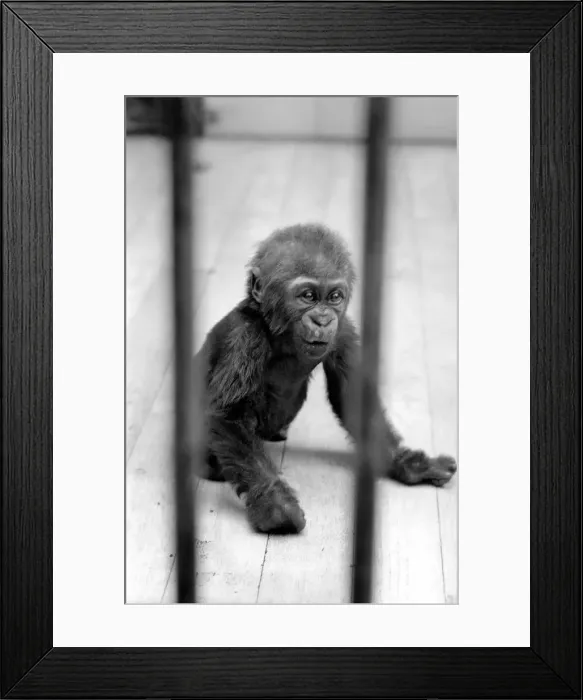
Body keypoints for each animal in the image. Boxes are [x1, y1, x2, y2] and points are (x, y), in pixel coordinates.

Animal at [195, 223, 457, 534]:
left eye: (334, 297)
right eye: (308, 296)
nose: (322, 320)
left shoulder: (342, 330)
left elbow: (353, 396)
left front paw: (409, 465)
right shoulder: (244, 337)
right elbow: (231, 417)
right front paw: (274, 505)